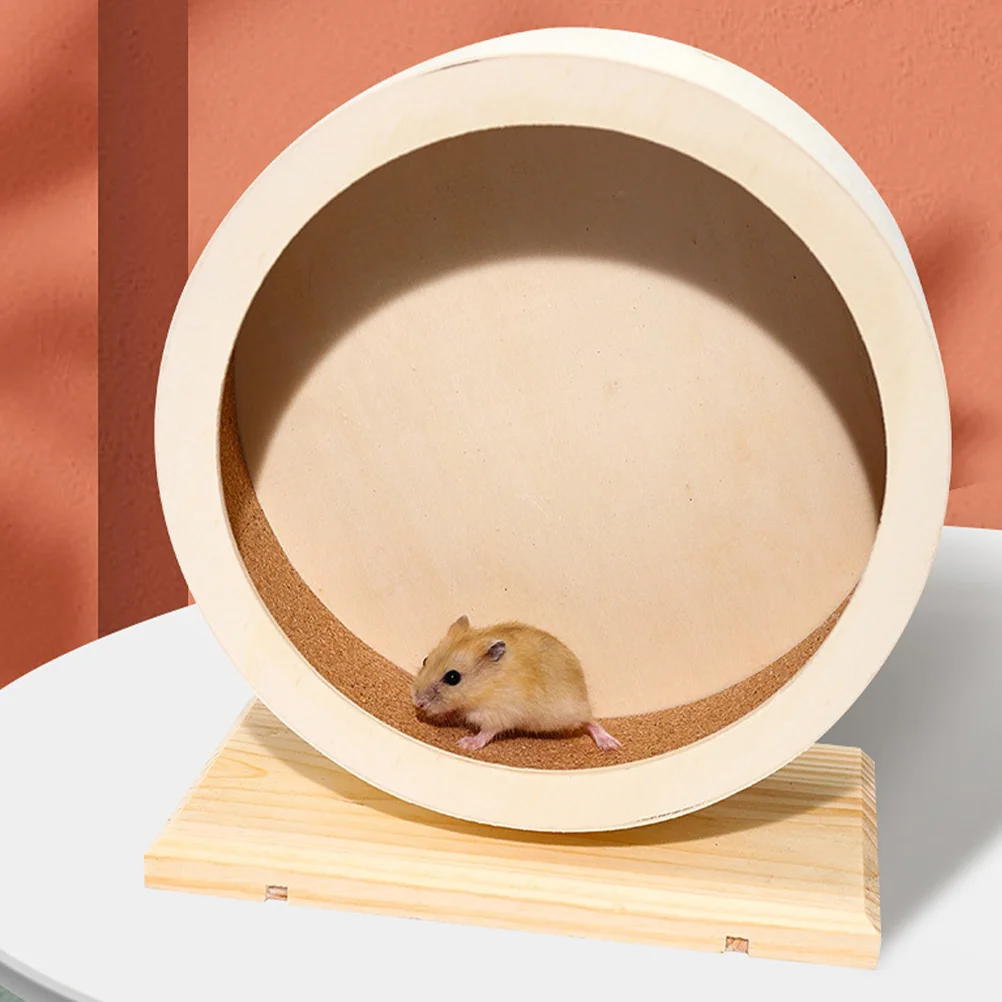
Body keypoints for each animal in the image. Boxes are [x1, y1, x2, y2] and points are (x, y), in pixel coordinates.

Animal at [412, 616, 621, 752]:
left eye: (453, 678)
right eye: (425, 660)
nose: (418, 702)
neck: (485, 687)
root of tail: (584, 692)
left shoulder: (498, 715)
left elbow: (486, 733)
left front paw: (465, 743)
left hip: (570, 712)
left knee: (591, 721)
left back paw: (610, 744)